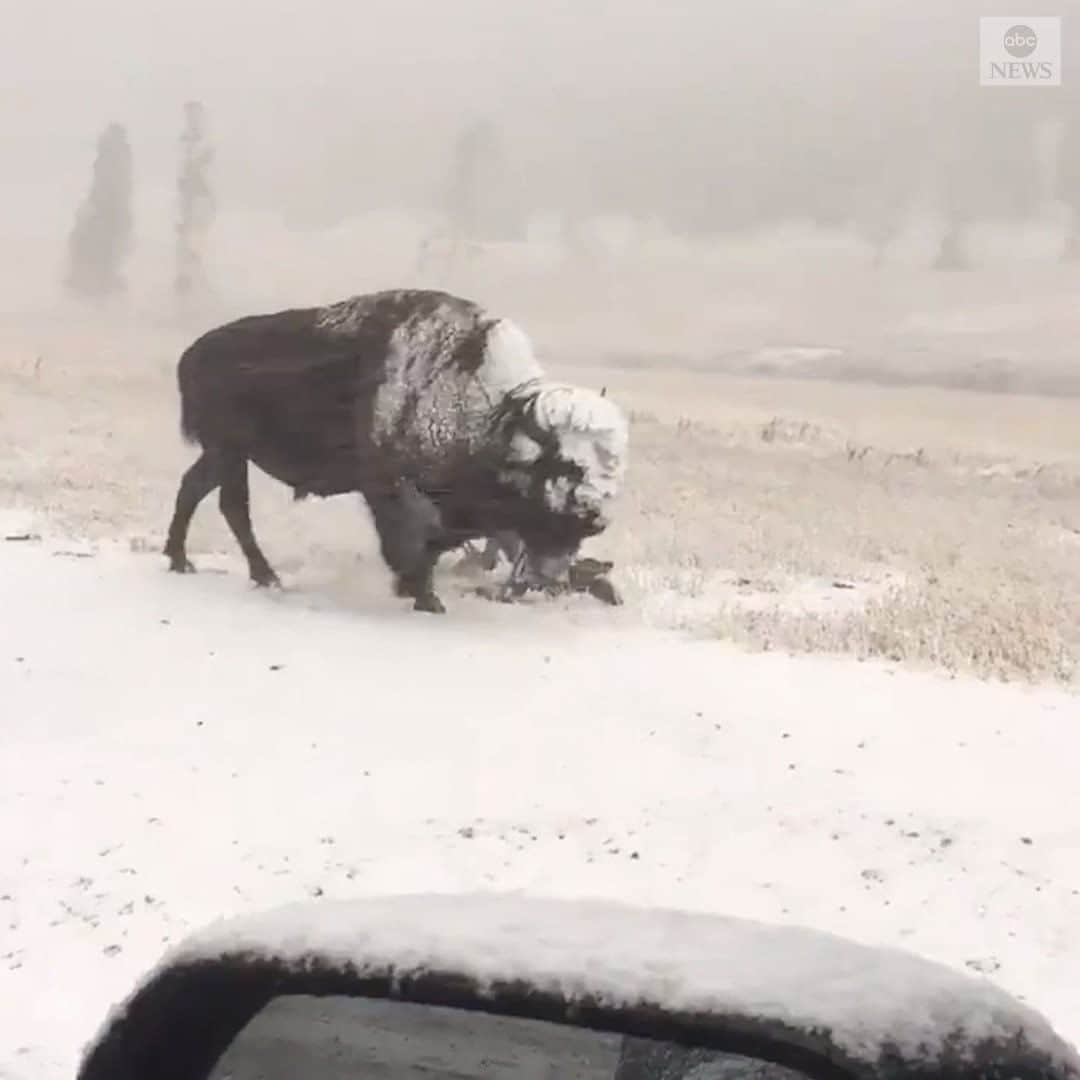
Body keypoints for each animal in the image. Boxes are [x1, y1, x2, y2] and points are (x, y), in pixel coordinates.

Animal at [164, 289, 630, 617]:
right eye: (566, 464)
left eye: (609, 466)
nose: (596, 516)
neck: (494, 418)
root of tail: (191, 354)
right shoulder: (387, 487)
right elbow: (411, 538)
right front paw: (423, 596)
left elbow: (439, 541)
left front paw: (416, 589)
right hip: (229, 452)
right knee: (232, 506)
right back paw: (263, 575)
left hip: (223, 455)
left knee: (194, 488)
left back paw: (182, 560)